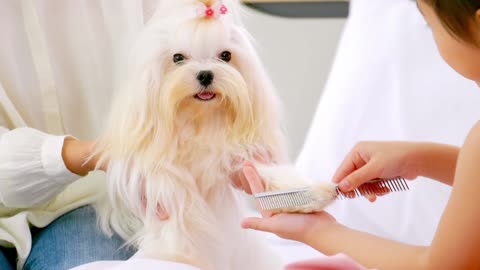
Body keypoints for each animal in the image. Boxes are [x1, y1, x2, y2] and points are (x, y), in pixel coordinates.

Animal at [92, 1, 330, 268]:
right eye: (177, 58)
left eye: (226, 55)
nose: (205, 74)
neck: (200, 119)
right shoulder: (158, 169)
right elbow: (177, 201)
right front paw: (183, 254)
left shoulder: (240, 155)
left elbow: (268, 172)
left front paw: (315, 194)